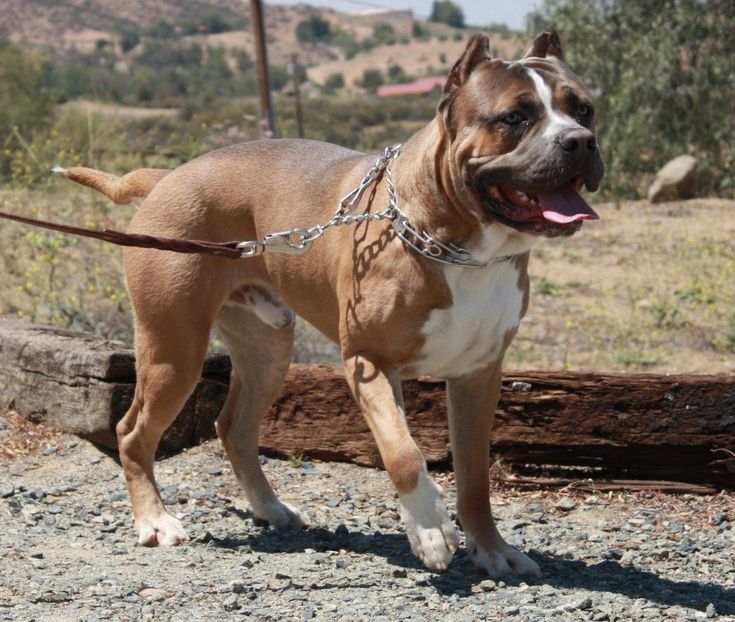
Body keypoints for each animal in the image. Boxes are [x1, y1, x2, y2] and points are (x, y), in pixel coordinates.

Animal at [59, 28, 604, 576]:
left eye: (584, 109)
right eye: (514, 118)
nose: (580, 140)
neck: (463, 247)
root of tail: (165, 176)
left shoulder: (478, 374)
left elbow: (474, 476)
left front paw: (492, 549)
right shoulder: (368, 361)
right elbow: (403, 451)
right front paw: (429, 527)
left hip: (267, 348)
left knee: (234, 427)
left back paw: (271, 508)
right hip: (175, 350)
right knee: (132, 431)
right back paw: (155, 520)